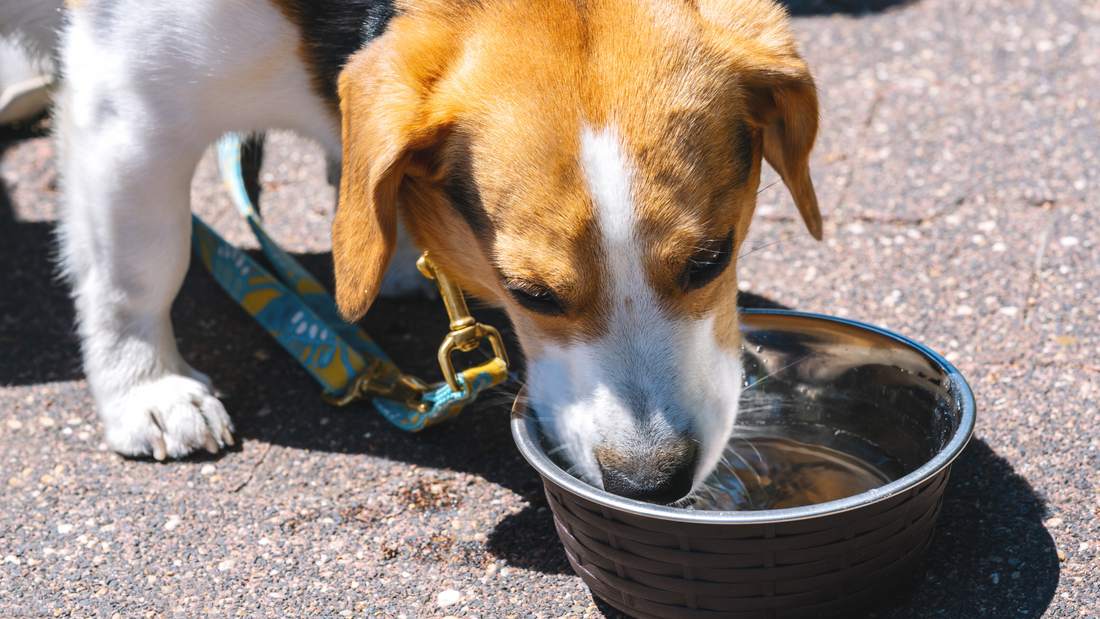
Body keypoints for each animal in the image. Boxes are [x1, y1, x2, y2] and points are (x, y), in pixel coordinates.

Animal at [42, 0, 818, 505]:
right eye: (530, 294)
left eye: (710, 260)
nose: (651, 481)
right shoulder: (127, 107)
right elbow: (141, 268)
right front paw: (145, 385)